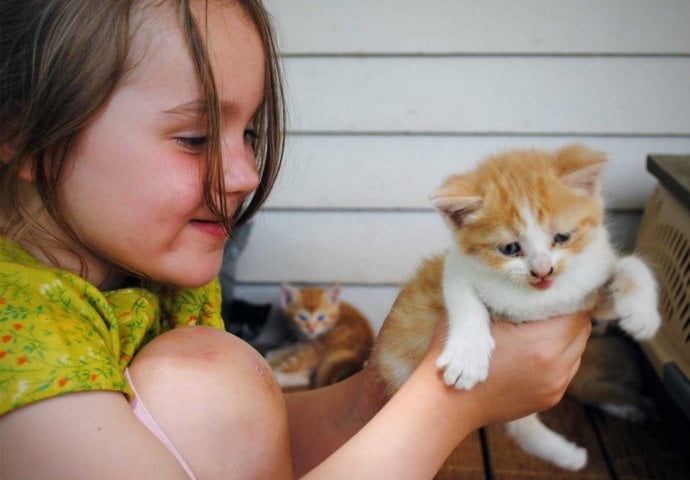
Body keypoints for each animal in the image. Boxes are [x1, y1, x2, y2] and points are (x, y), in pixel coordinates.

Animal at [374, 144, 660, 470]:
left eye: (562, 237)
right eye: (510, 248)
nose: (543, 271)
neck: (540, 297)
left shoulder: (586, 300)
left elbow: (630, 265)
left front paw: (643, 312)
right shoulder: (457, 266)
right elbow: (464, 297)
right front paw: (467, 356)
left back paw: (571, 451)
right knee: (521, 424)